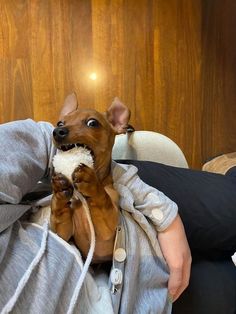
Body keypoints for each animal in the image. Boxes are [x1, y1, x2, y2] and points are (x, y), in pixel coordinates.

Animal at [50, 94, 130, 262]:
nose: (57, 131)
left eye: (92, 123)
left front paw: (91, 183)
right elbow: (59, 221)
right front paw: (59, 190)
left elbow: (102, 201)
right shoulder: (63, 233)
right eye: (60, 123)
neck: (83, 201)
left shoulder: (109, 226)